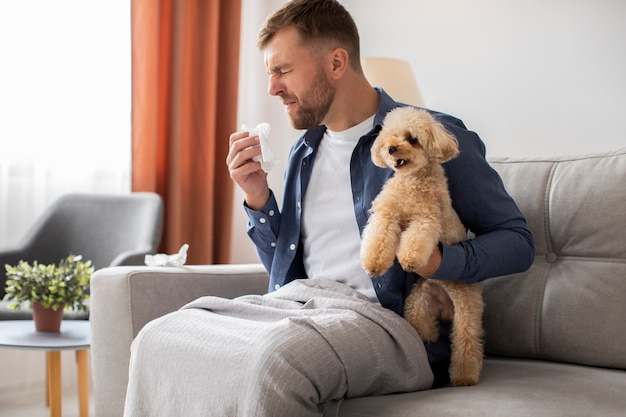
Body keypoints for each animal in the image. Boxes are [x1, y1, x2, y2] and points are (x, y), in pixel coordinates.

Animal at [360, 105, 482, 386]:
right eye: (390, 136)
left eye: (412, 138)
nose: (391, 149)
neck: (410, 181)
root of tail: (446, 306)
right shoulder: (387, 214)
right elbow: (377, 238)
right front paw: (373, 263)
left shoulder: (426, 218)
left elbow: (415, 240)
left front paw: (409, 258)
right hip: (418, 301)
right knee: (423, 326)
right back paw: (427, 336)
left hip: (467, 312)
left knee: (467, 343)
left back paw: (464, 376)